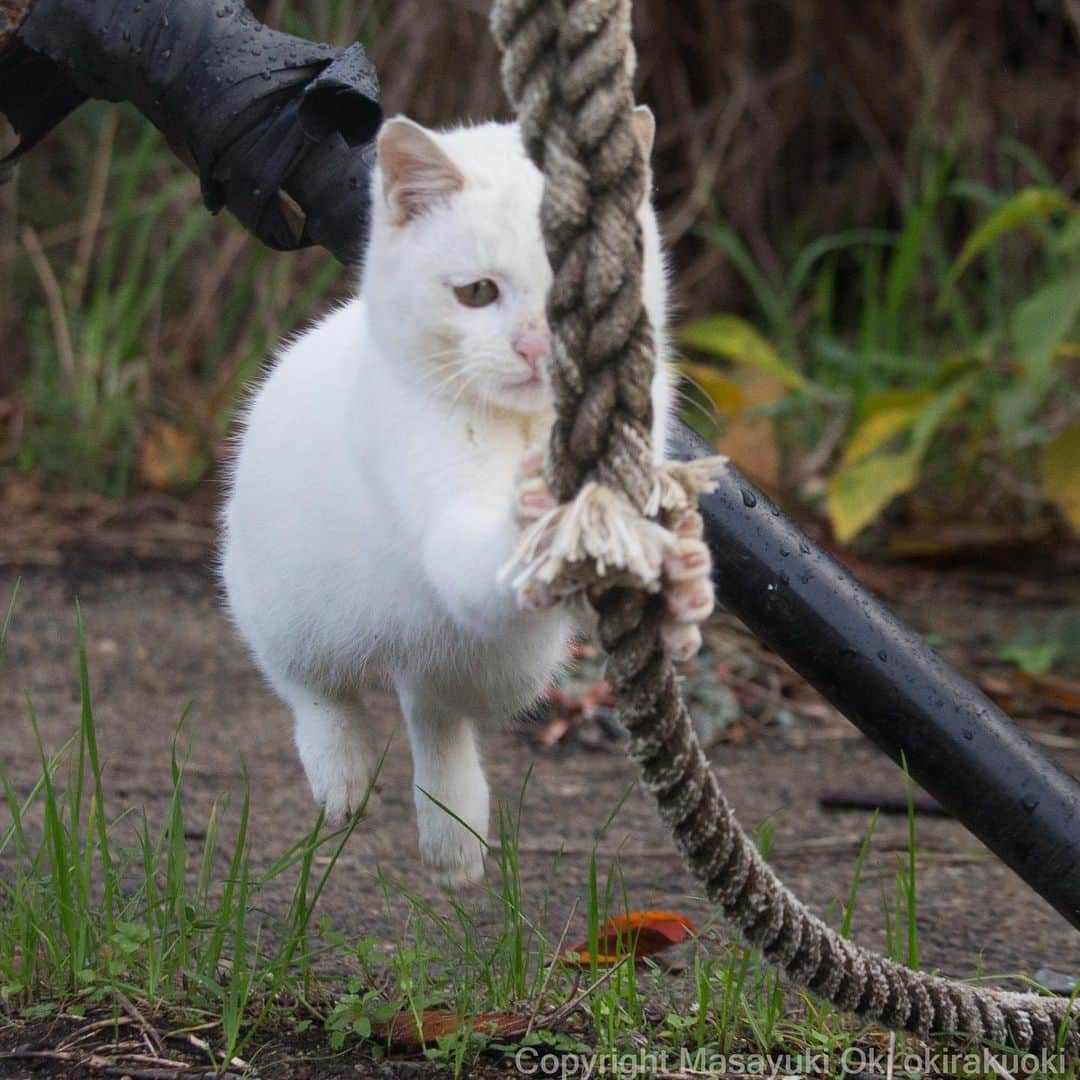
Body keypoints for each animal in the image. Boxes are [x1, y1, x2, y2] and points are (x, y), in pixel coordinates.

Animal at [220, 111, 712, 885]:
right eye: (477, 293)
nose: (536, 348)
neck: (528, 429)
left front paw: (678, 581)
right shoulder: (437, 505)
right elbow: (476, 555)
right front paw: (543, 521)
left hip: (506, 665)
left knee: (436, 711)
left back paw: (453, 833)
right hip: (281, 599)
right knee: (310, 682)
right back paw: (342, 774)